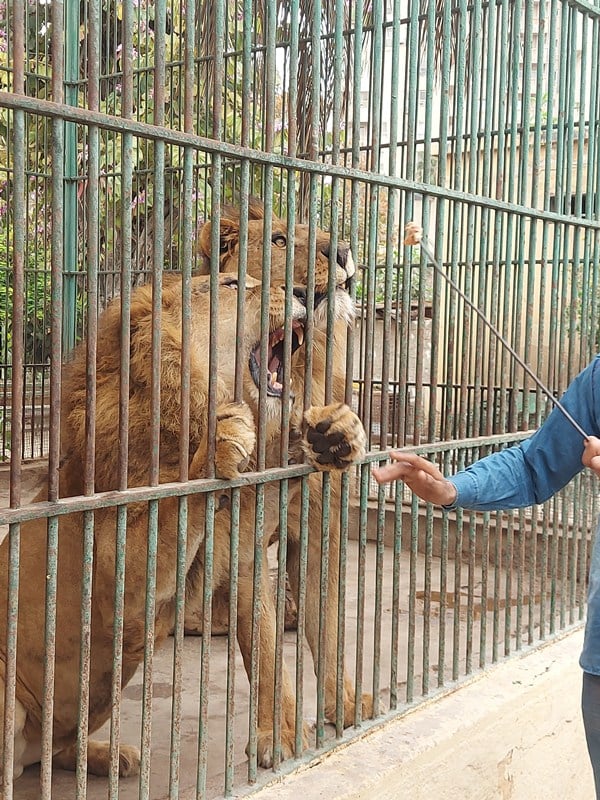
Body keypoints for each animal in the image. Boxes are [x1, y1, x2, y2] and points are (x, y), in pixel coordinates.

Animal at [0, 270, 366, 780]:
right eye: (231, 284)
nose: (305, 292)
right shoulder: (118, 582)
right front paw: (222, 442)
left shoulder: (256, 535)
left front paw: (334, 430)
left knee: (55, 752)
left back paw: (111, 756)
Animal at [190, 198, 372, 732]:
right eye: (277, 239)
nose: (345, 251)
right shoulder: (241, 534)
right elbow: (264, 646)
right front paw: (280, 735)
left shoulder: (320, 525)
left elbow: (328, 626)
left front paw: (344, 708)